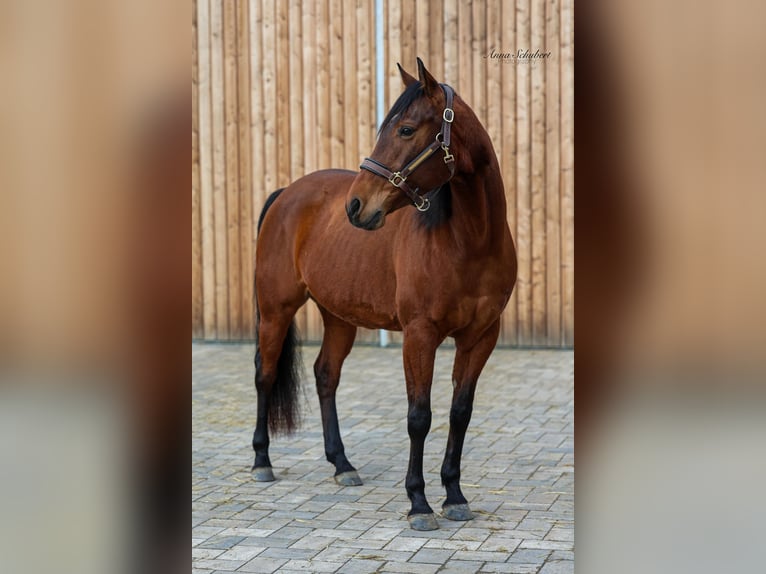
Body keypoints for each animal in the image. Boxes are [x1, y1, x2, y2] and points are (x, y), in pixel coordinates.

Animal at [252, 58, 517, 531]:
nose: (356, 207)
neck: (471, 242)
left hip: (339, 316)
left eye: (407, 130)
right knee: (264, 374)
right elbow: (419, 416)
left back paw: (342, 465)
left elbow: (460, 413)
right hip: (275, 309)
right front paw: (419, 503)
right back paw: (262, 462)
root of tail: (287, 194)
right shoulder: (419, 334)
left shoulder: (482, 337)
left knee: (325, 375)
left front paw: (454, 496)